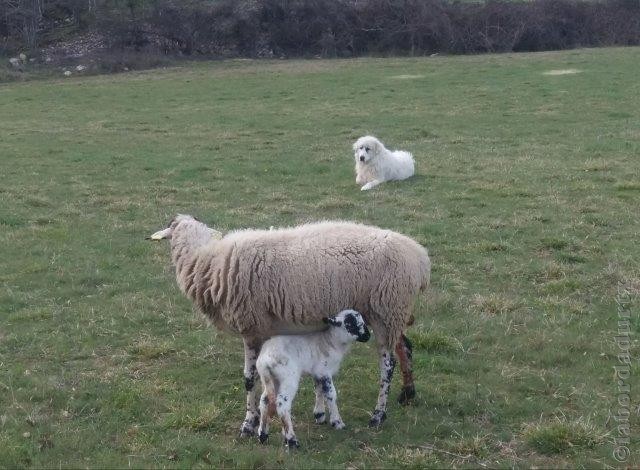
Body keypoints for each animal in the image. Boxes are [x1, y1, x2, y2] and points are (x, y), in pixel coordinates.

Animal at [256, 308, 370, 448]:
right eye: (351, 325)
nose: (368, 336)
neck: (330, 341)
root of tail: (265, 360)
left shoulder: (318, 373)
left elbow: (319, 390)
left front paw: (319, 415)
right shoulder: (324, 371)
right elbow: (331, 395)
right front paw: (337, 422)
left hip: (270, 379)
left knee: (265, 401)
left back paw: (263, 435)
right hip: (289, 377)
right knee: (282, 404)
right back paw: (292, 440)